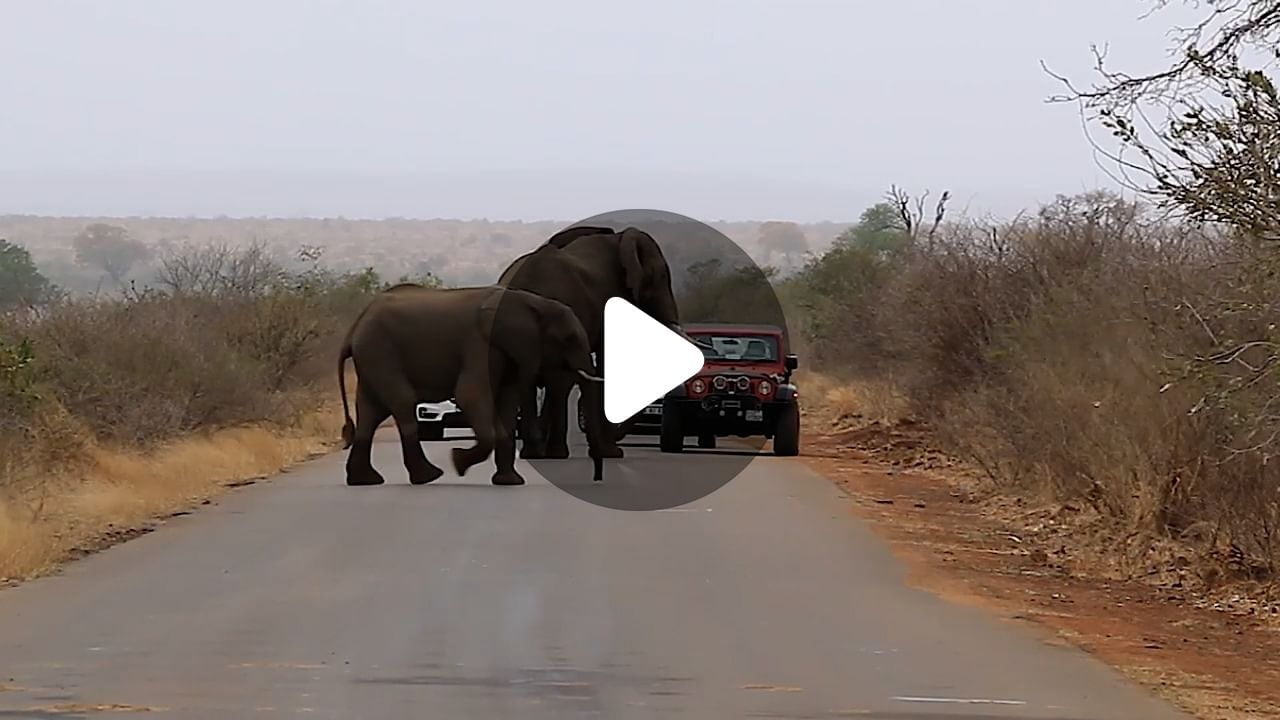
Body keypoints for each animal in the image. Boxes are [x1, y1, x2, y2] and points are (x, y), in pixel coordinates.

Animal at [335, 283, 604, 484]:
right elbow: (470, 395)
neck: (532, 303)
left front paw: (510, 482)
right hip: (379, 350)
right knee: (401, 402)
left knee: (371, 412)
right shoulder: (481, 343)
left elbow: (507, 402)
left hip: (373, 356)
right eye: (569, 338)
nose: (596, 477)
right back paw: (429, 476)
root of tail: (354, 327)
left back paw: (365, 480)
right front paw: (458, 462)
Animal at [494, 224, 691, 458]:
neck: (621, 238)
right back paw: (552, 453)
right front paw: (611, 453)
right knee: (557, 380)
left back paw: (535, 452)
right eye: (661, 278)